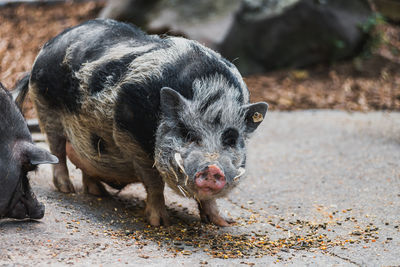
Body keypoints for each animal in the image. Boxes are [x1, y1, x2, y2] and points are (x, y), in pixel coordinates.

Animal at [17, 18, 268, 227]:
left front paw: (224, 223)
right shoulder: (129, 136)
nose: (213, 168)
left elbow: (207, 200)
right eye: (186, 133)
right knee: (57, 150)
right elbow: (154, 183)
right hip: (45, 107)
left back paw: (99, 193)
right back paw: (67, 190)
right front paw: (161, 223)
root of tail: (48, 46)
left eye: (231, 138)